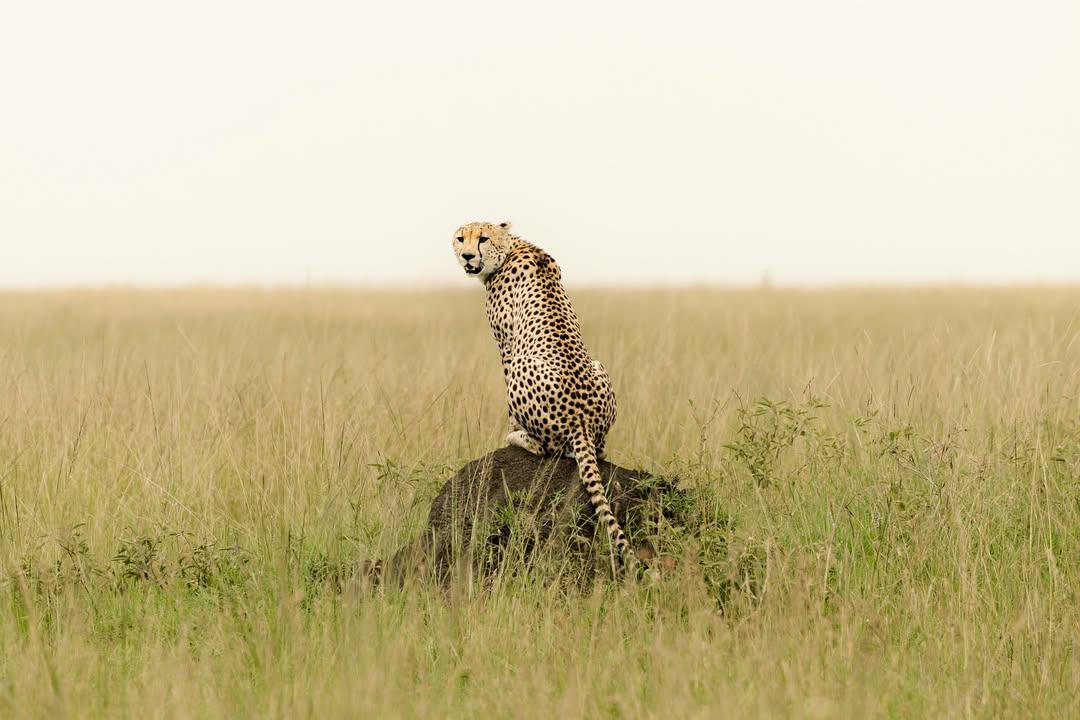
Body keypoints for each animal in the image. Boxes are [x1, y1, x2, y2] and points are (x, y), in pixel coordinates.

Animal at [452, 220, 634, 567]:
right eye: (460, 238)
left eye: (482, 238)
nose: (467, 256)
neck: (512, 247)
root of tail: (581, 422)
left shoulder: (507, 346)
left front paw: (512, 429)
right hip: (599, 366)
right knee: (599, 450)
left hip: (524, 367)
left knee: (546, 448)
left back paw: (520, 439)